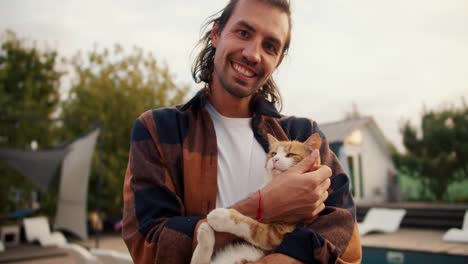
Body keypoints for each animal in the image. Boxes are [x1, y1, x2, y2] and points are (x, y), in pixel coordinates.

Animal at [190, 134, 322, 264]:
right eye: (273, 154)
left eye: (290, 155)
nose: (274, 160)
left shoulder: (275, 235)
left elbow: (252, 227)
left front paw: (222, 216)